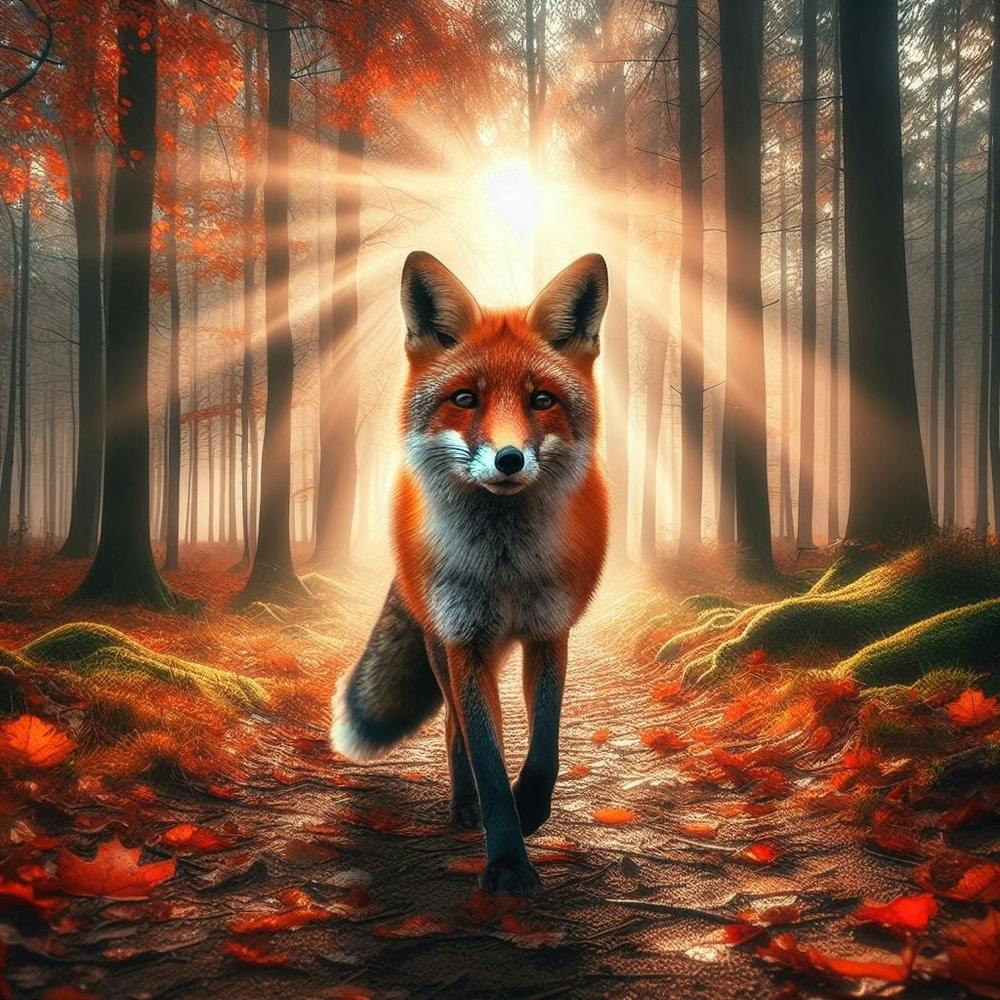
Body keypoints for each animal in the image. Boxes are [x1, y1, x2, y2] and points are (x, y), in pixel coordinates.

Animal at [331, 250, 610, 892]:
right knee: (458, 733)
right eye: (464, 399)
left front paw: (531, 808)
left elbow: (544, 749)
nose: (509, 459)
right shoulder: (465, 641)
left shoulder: (549, 630)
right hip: (442, 644)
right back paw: (466, 806)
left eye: (541, 400)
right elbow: (486, 755)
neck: (504, 568)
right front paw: (505, 859)